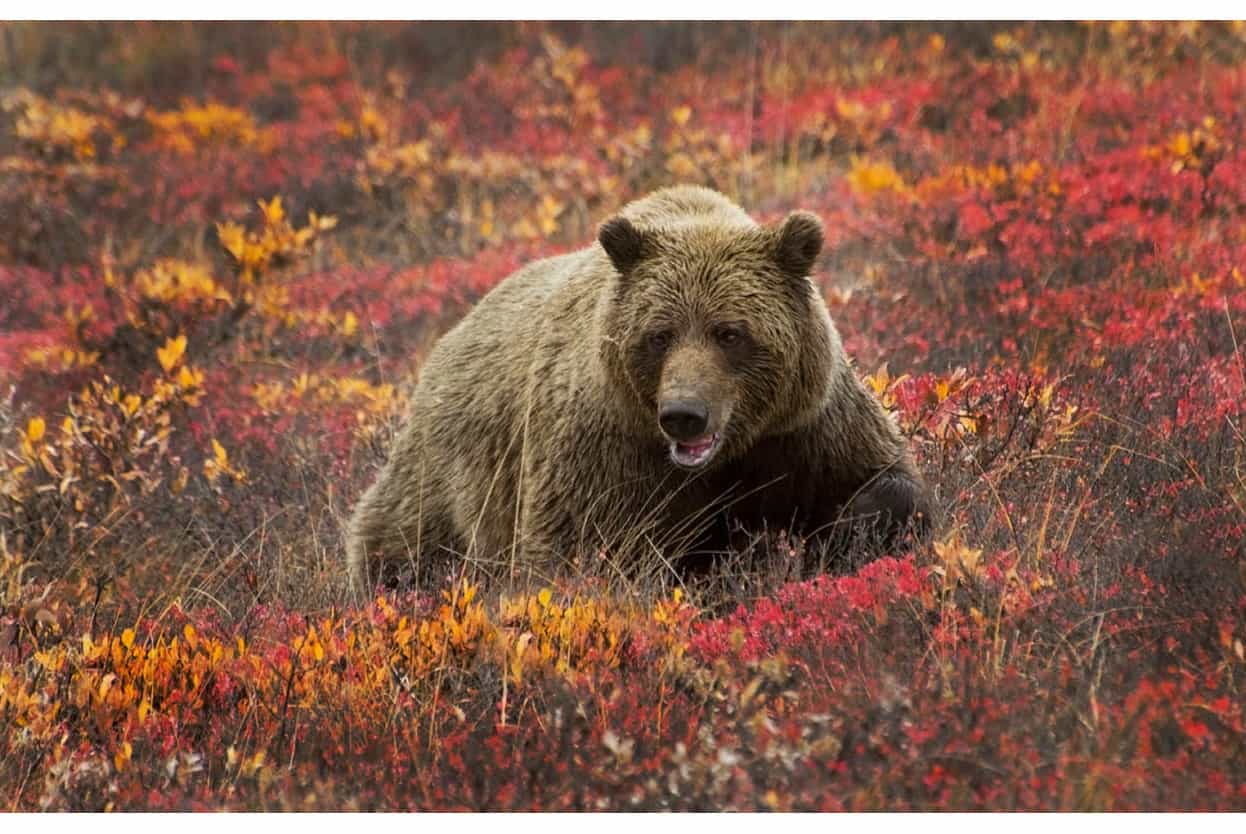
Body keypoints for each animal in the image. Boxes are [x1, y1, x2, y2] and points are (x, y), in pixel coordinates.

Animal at [346, 186, 932, 590]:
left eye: (730, 332)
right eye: (660, 334)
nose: (685, 414)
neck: (727, 454)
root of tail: (448, 338)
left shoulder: (805, 426)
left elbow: (886, 482)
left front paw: (853, 532)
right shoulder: (607, 447)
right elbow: (582, 552)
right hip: (446, 477)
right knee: (401, 543)